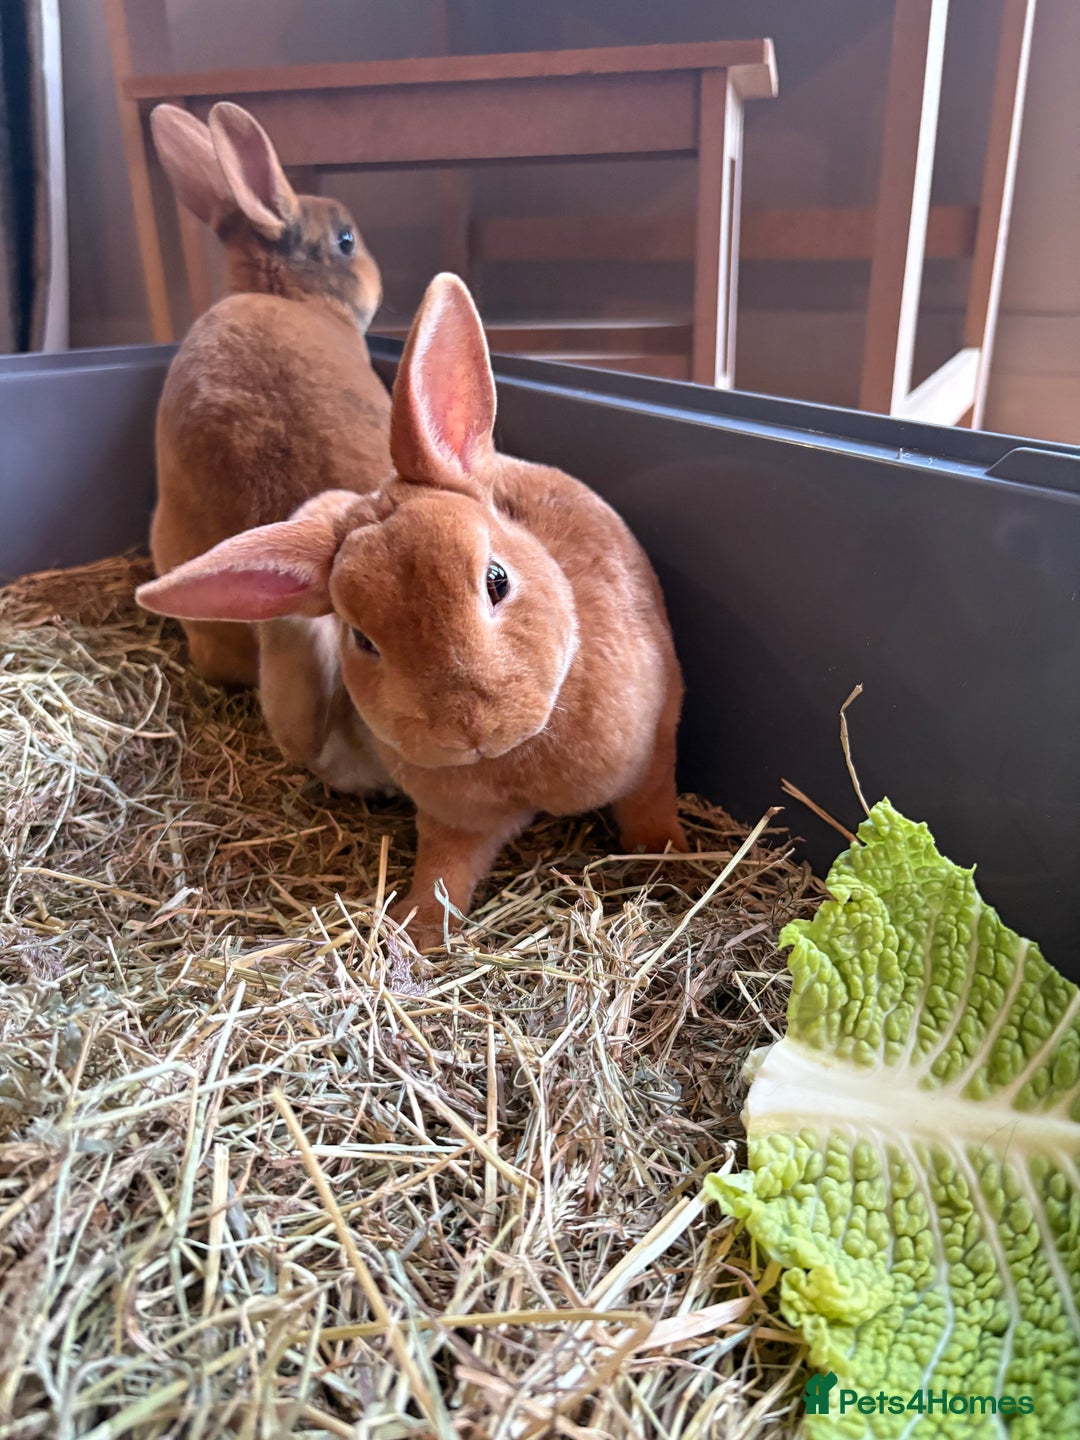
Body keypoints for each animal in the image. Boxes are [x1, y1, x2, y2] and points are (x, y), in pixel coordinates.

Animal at [136, 272, 689, 947]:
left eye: (497, 580)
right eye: (363, 640)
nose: (470, 727)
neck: (518, 761)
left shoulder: (657, 738)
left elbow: (650, 803)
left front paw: (674, 861)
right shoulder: (456, 822)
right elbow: (444, 874)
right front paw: (413, 935)